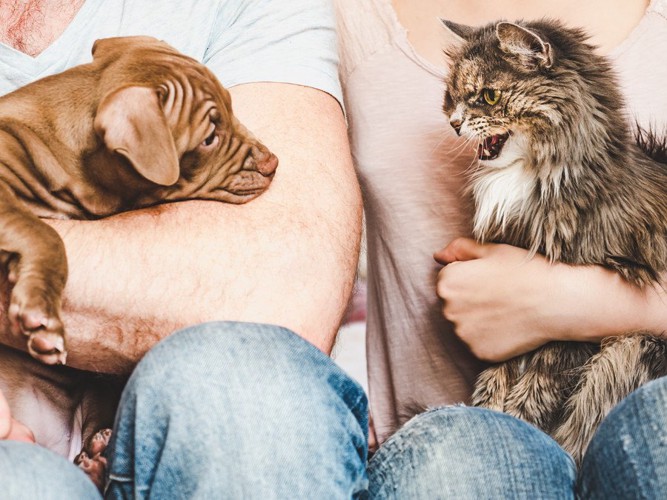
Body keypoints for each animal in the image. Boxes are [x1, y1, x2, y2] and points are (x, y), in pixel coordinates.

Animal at [444, 19, 667, 464]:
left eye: (489, 96)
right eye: (451, 98)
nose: (455, 123)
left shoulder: (567, 324)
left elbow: (539, 384)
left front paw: (518, 420)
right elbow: (497, 374)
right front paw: (489, 411)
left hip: (631, 345)